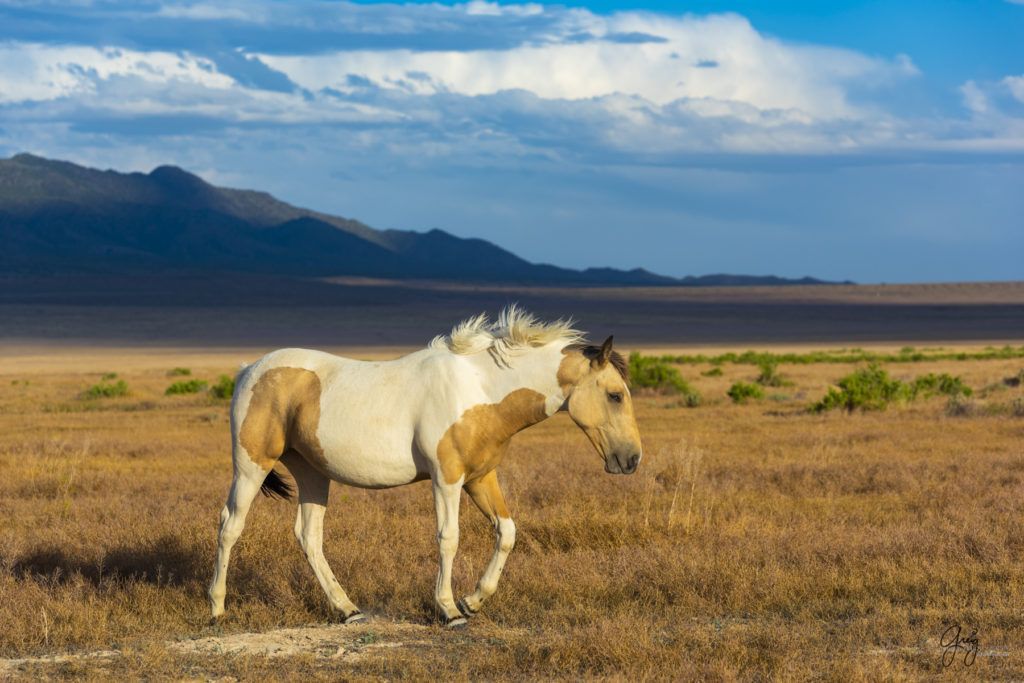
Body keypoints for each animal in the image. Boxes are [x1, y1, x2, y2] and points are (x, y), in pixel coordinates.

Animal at [206, 307, 638, 626]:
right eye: (615, 395)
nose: (632, 459)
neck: (479, 389)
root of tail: (248, 370)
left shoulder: (480, 478)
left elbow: (507, 533)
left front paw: (473, 601)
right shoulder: (446, 480)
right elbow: (449, 538)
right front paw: (448, 610)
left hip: (313, 473)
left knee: (308, 536)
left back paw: (347, 609)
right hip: (251, 467)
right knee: (230, 527)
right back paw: (217, 608)